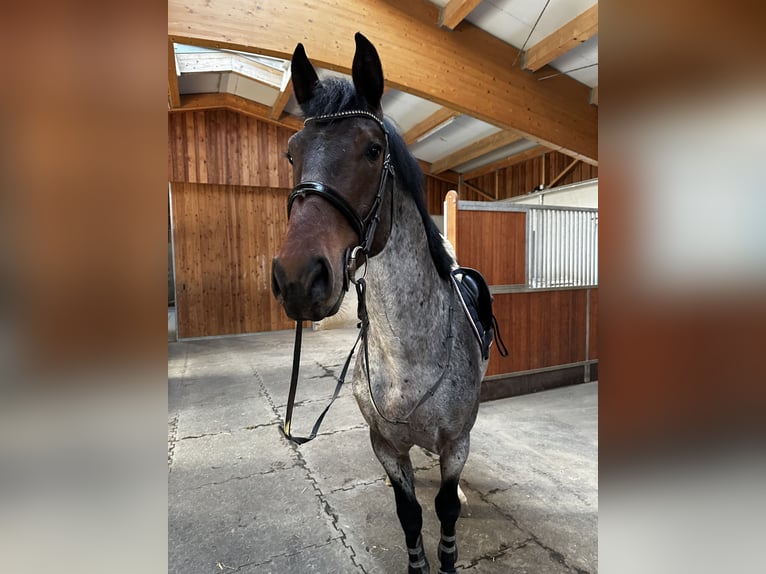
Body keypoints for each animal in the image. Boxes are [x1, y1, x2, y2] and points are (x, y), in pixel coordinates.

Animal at [271, 33, 494, 574]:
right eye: (291, 154)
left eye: (373, 150)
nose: (297, 278)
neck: (408, 356)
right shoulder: (386, 447)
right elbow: (410, 514)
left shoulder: (456, 440)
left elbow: (446, 509)